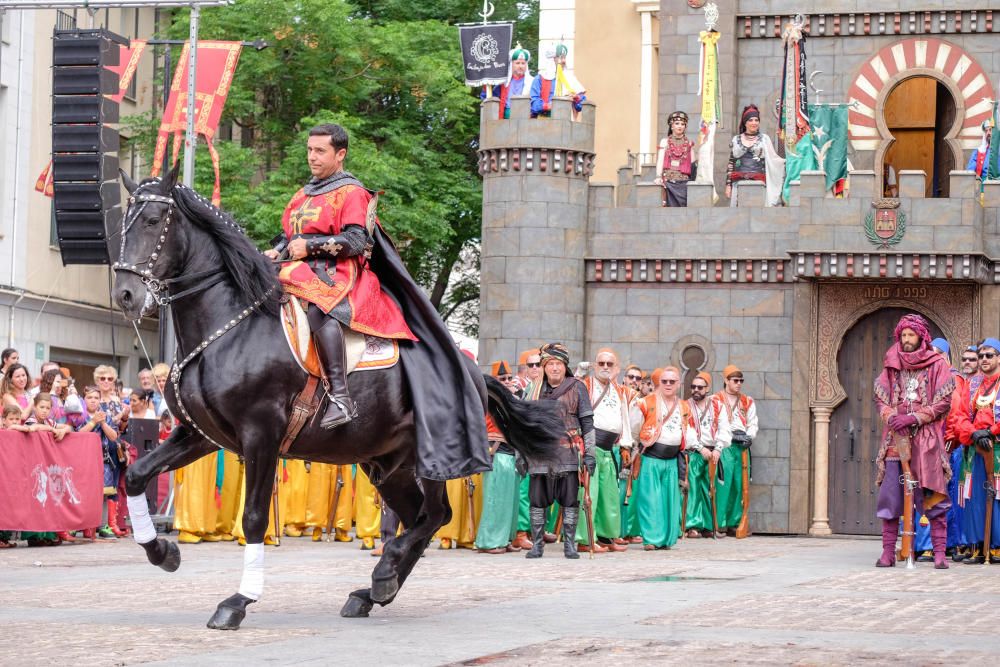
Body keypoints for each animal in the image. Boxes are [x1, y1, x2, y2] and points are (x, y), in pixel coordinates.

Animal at [113, 167, 568, 632]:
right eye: (122, 223)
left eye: (153, 220)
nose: (126, 294)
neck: (231, 327)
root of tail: (474, 373)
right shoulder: (200, 435)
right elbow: (136, 476)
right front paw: (163, 552)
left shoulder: (261, 435)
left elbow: (255, 517)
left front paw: (238, 601)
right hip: (387, 464)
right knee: (420, 517)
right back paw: (375, 588)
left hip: (429, 456)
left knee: (435, 516)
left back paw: (383, 573)